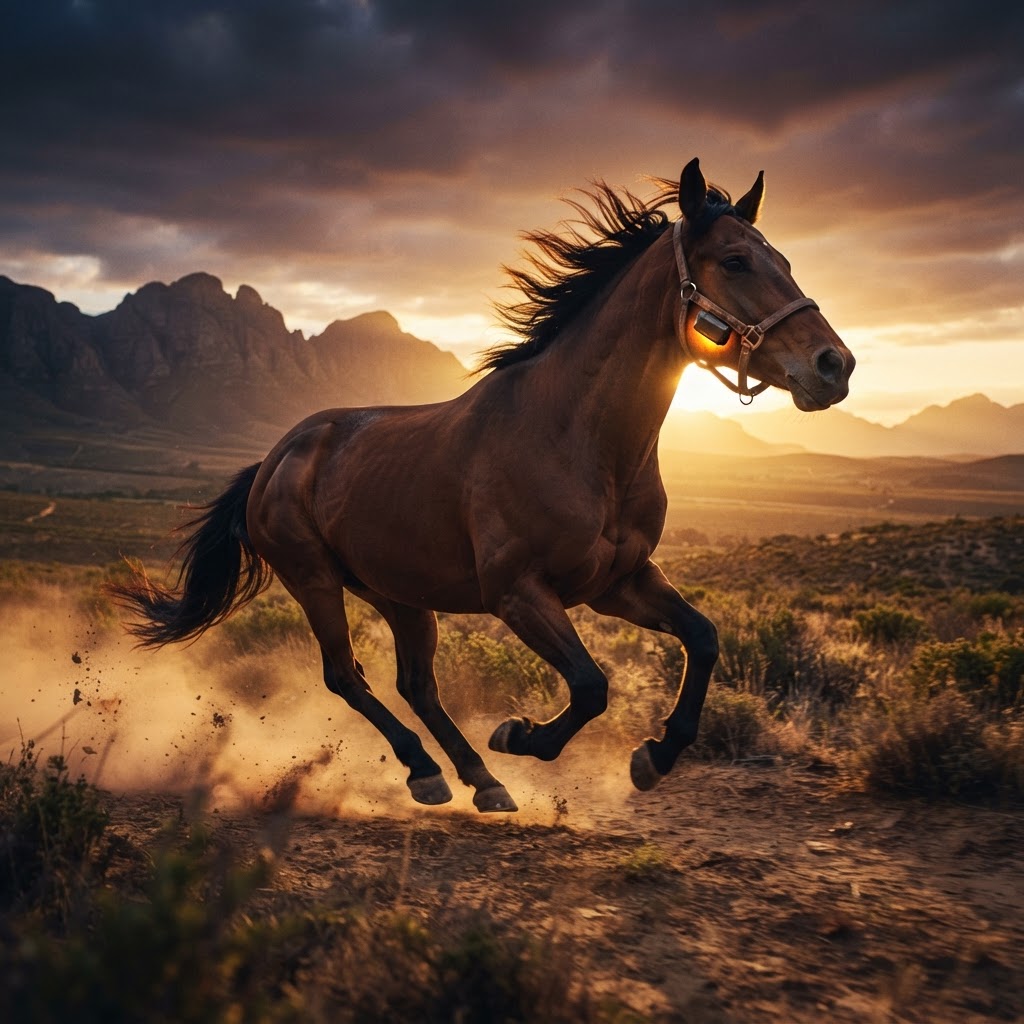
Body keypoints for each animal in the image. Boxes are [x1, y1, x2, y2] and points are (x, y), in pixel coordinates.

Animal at [110, 158, 855, 813]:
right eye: (734, 261)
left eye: (785, 262)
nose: (835, 365)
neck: (579, 442)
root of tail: (272, 461)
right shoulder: (517, 593)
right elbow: (591, 685)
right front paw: (522, 735)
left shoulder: (618, 582)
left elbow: (701, 638)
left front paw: (654, 756)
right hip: (314, 579)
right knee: (345, 676)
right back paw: (428, 772)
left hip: (399, 594)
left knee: (417, 684)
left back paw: (477, 781)